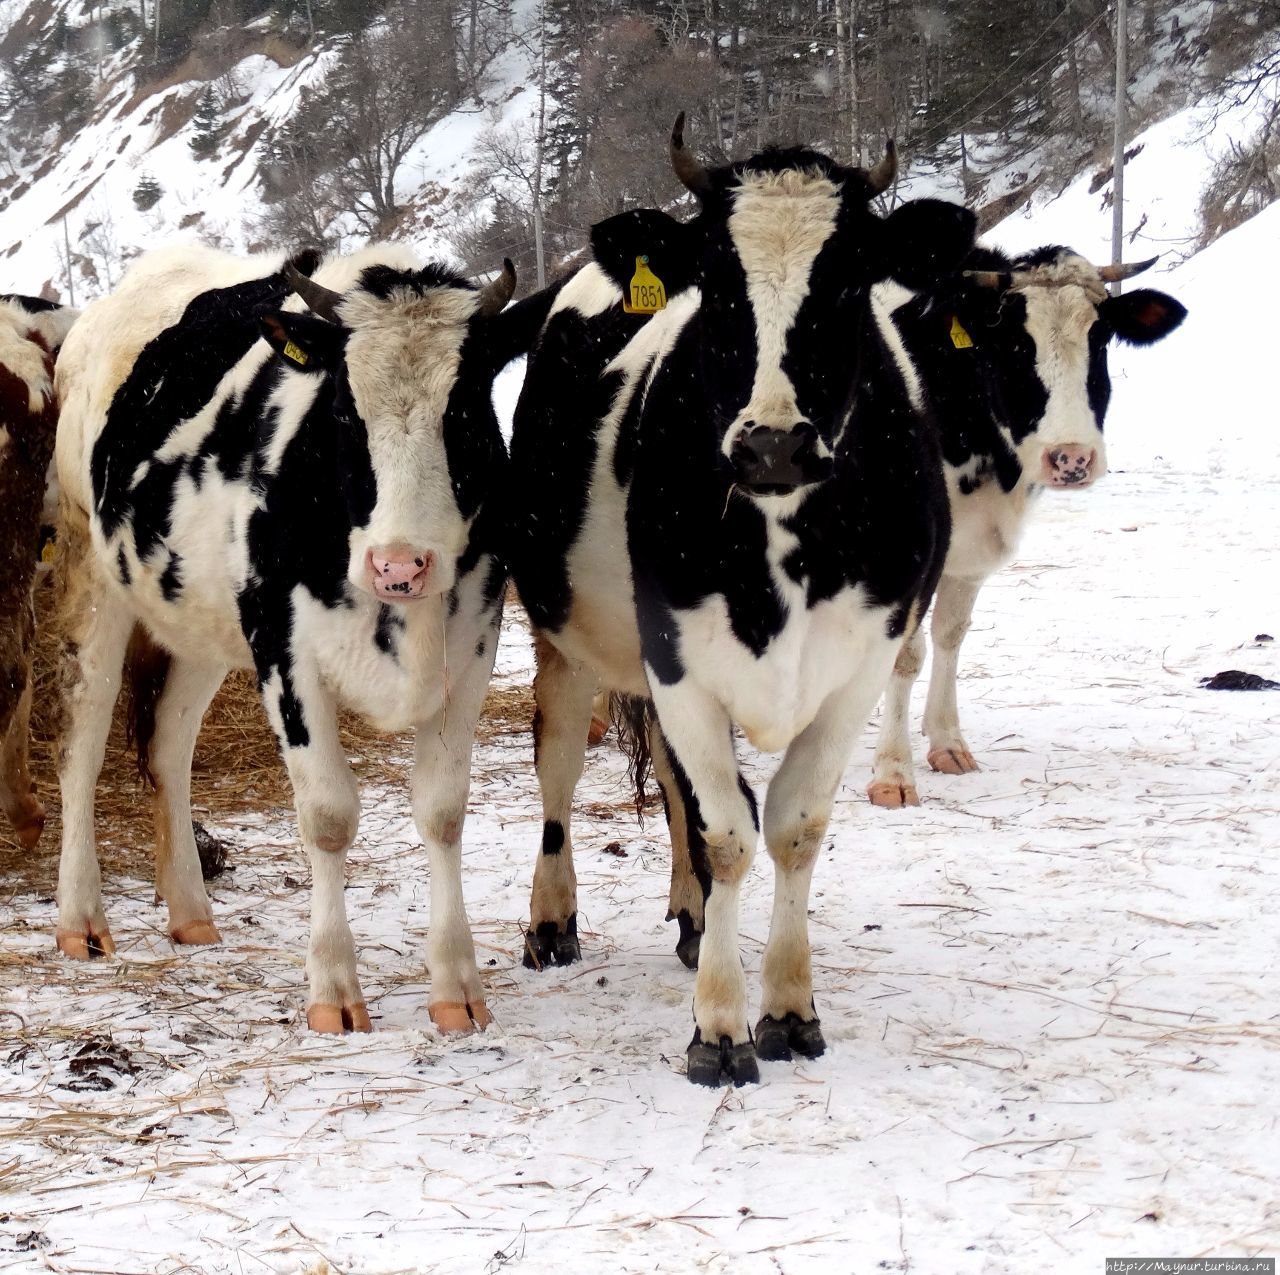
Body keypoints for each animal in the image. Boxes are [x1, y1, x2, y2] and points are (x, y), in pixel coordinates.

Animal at [865, 247, 1182, 809]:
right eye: (1015, 343)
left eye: (1100, 337)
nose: (1071, 458)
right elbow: (905, 653)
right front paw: (893, 774)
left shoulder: (969, 550)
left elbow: (950, 635)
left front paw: (947, 743)